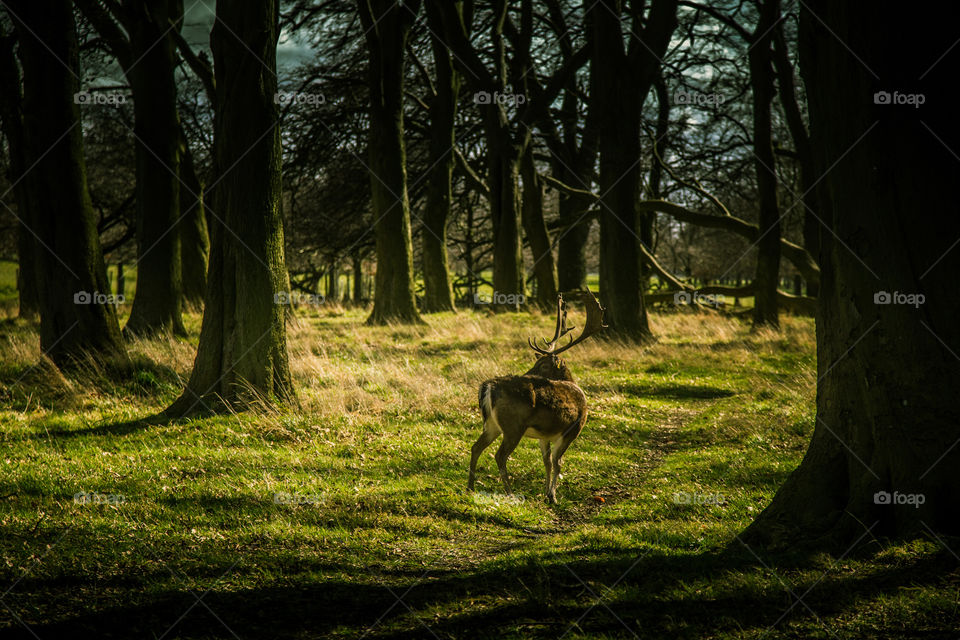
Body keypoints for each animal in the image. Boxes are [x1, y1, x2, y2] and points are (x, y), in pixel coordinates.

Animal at [470, 288, 608, 502]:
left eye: (542, 364)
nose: (527, 373)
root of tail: (488, 388)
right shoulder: (572, 429)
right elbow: (558, 462)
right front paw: (552, 496)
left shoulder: (545, 435)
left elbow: (548, 462)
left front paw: (546, 493)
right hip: (513, 425)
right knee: (500, 455)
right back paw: (510, 493)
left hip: (491, 424)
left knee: (475, 447)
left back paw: (470, 487)